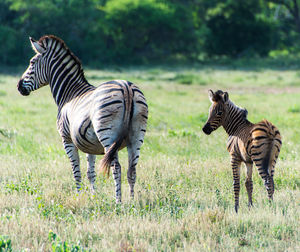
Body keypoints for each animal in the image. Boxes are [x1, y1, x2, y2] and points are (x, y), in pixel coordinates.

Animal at [17, 35, 148, 203]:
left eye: (32, 62)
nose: (19, 87)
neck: (69, 94)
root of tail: (126, 87)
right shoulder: (89, 144)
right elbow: (90, 173)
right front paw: (93, 197)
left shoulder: (67, 140)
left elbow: (76, 171)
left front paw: (78, 196)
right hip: (137, 135)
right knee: (132, 169)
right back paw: (132, 201)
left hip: (107, 135)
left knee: (116, 167)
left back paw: (118, 201)